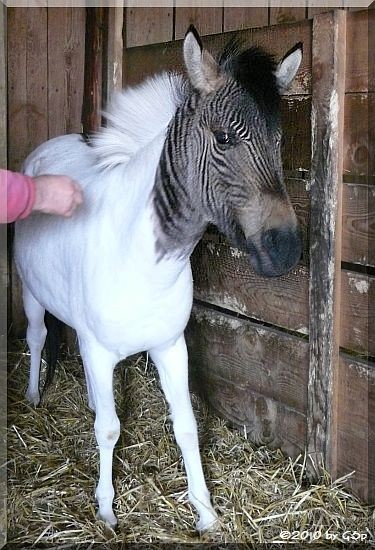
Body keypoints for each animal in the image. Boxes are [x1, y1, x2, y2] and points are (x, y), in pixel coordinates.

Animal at [14, 28, 304, 532]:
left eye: (280, 140)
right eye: (224, 138)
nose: (286, 248)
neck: (144, 263)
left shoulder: (171, 345)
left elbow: (186, 427)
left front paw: (206, 511)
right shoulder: (99, 349)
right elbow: (110, 429)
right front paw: (106, 511)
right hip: (32, 294)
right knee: (35, 336)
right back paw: (33, 396)